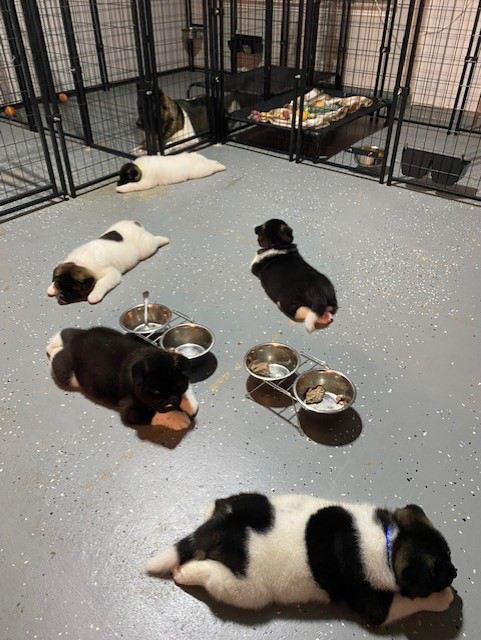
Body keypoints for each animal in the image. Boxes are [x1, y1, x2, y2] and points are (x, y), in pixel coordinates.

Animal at [46, 327, 198, 430]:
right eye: (154, 392)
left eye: (177, 386)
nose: (170, 403)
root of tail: (76, 341)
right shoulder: (130, 411)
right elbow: (156, 414)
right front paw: (179, 418)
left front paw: (189, 404)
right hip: (67, 374)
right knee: (57, 358)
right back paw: (52, 348)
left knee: (67, 331)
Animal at [146, 493, 457, 626]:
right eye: (440, 573)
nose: (455, 573)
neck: (389, 541)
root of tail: (226, 524)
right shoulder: (375, 608)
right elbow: (408, 603)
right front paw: (444, 598)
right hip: (245, 589)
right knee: (212, 575)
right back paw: (185, 573)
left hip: (244, 500)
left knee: (216, 506)